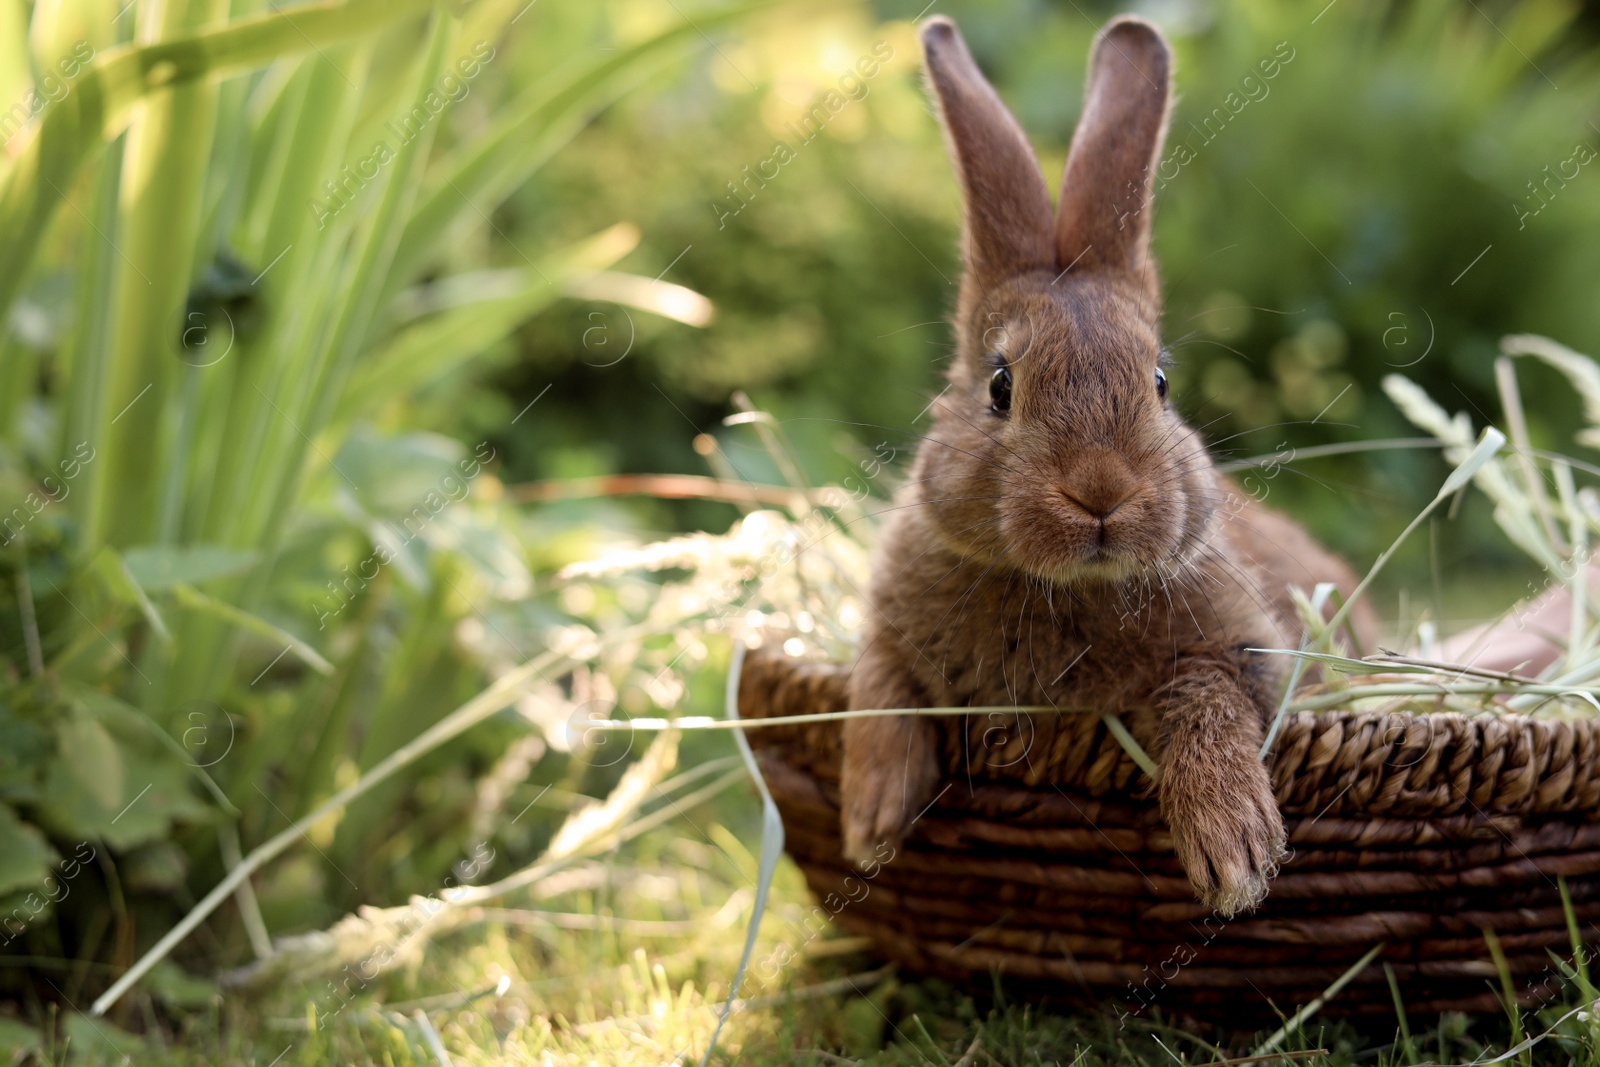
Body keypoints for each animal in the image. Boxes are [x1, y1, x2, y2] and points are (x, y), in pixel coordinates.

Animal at [838, 12, 1376, 921]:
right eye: (1001, 384)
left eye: (1159, 381)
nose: (1101, 492)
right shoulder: (887, 626)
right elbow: (880, 682)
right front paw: (870, 822)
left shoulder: (1243, 652)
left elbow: (1206, 697)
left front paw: (1234, 856)